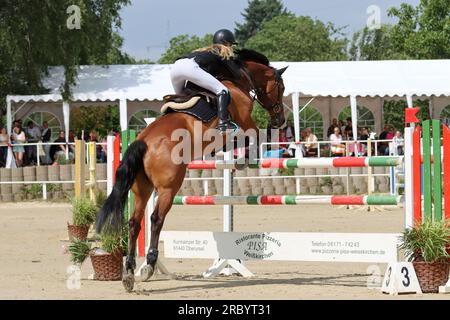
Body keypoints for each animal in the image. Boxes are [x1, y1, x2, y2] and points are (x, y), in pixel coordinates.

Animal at [96, 56, 288, 292]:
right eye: (281, 88)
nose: (280, 121)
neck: (238, 80)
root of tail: (143, 141)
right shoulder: (245, 122)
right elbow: (255, 137)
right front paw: (246, 160)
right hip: (168, 188)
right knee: (156, 219)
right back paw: (149, 265)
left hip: (142, 189)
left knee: (134, 222)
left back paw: (130, 273)